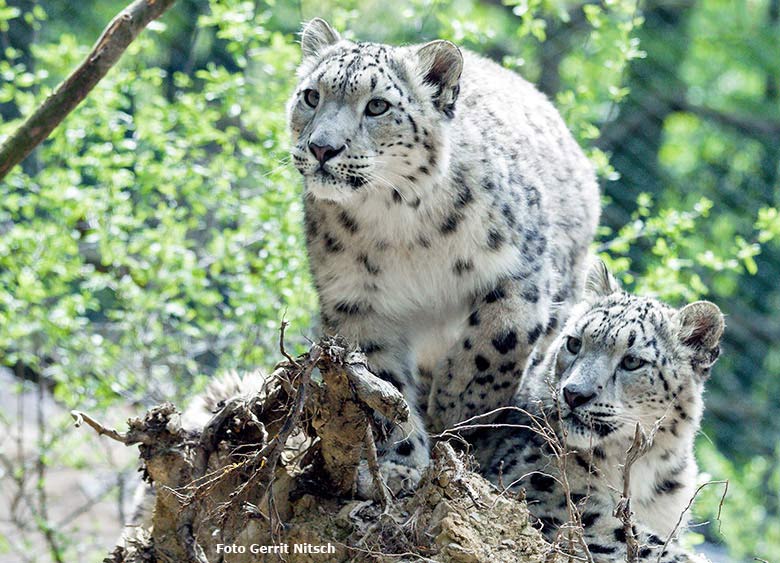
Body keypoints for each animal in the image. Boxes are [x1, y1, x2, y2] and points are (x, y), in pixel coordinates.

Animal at [290, 17, 600, 496]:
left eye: (377, 106)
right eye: (311, 96)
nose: (323, 148)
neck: (398, 227)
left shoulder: (523, 275)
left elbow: (498, 342)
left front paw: (456, 408)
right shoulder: (358, 305)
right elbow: (383, 388)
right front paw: (399, 463)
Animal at [484, 262, 724, 560]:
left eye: (632, 361)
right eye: (574, 343)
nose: (574, 393)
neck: (645, 470)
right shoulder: (547, 490)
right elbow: (640, 540)